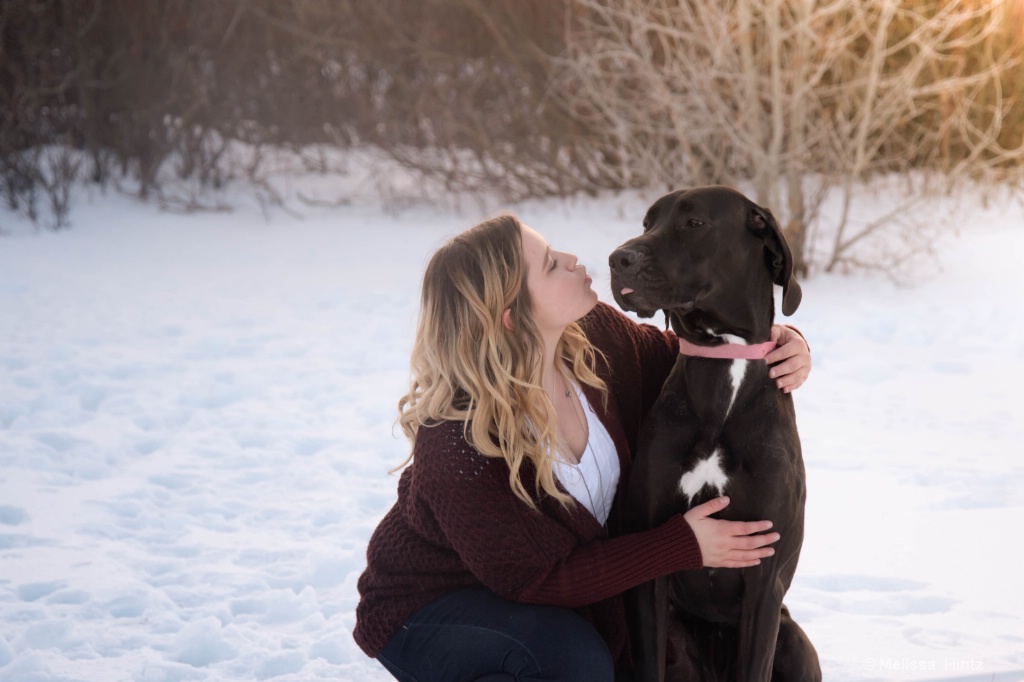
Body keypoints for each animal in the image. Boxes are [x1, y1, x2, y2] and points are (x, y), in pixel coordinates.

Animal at [606, 183, 823, 675]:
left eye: (694, 223)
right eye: (647, 222)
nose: (618, 259)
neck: (722, 359)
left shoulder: (765, 578)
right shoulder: (649, 571)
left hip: (795, 641)